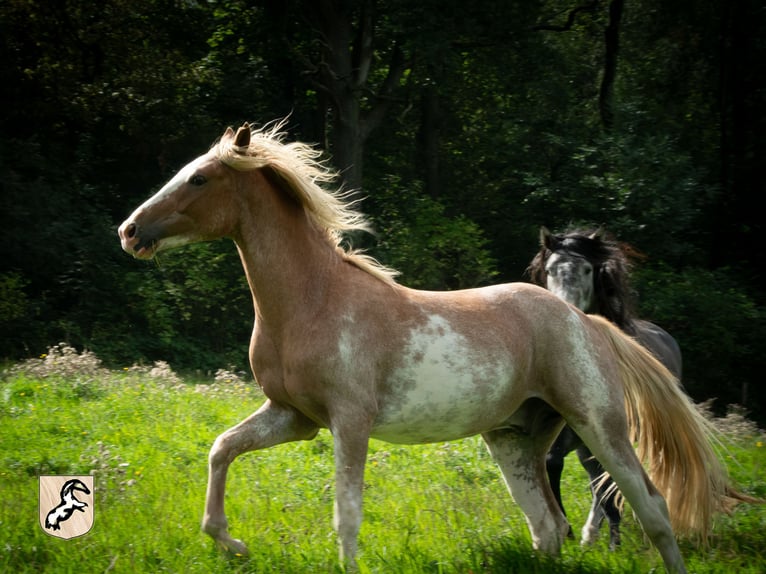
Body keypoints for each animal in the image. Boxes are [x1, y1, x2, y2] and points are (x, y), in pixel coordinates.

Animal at [528, 227, 684, 552]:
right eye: (549, 269)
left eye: (588, 269)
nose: (563, 311)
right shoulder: (564, 435)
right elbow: (553, 464)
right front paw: (570, 531)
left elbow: (608, 484)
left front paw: (614, 543)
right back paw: (590, 533)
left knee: (607, 481)